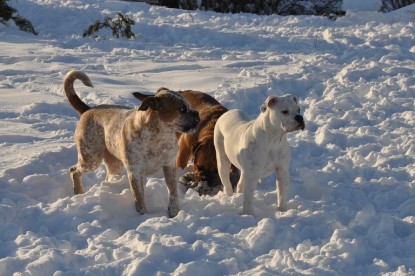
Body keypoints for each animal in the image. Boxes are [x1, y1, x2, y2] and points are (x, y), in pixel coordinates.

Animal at [64, 71, 200, 218]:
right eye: (182, 109)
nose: (197, 113)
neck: (157, 139)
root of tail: (87, 110)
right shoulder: (135, 172)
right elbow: (139, 199)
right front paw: (143, 216)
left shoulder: (169, 165)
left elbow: (173, 193)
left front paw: (174, 213)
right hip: (90, 158)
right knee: (73, 170)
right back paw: (78, 193)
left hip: (113, 163)